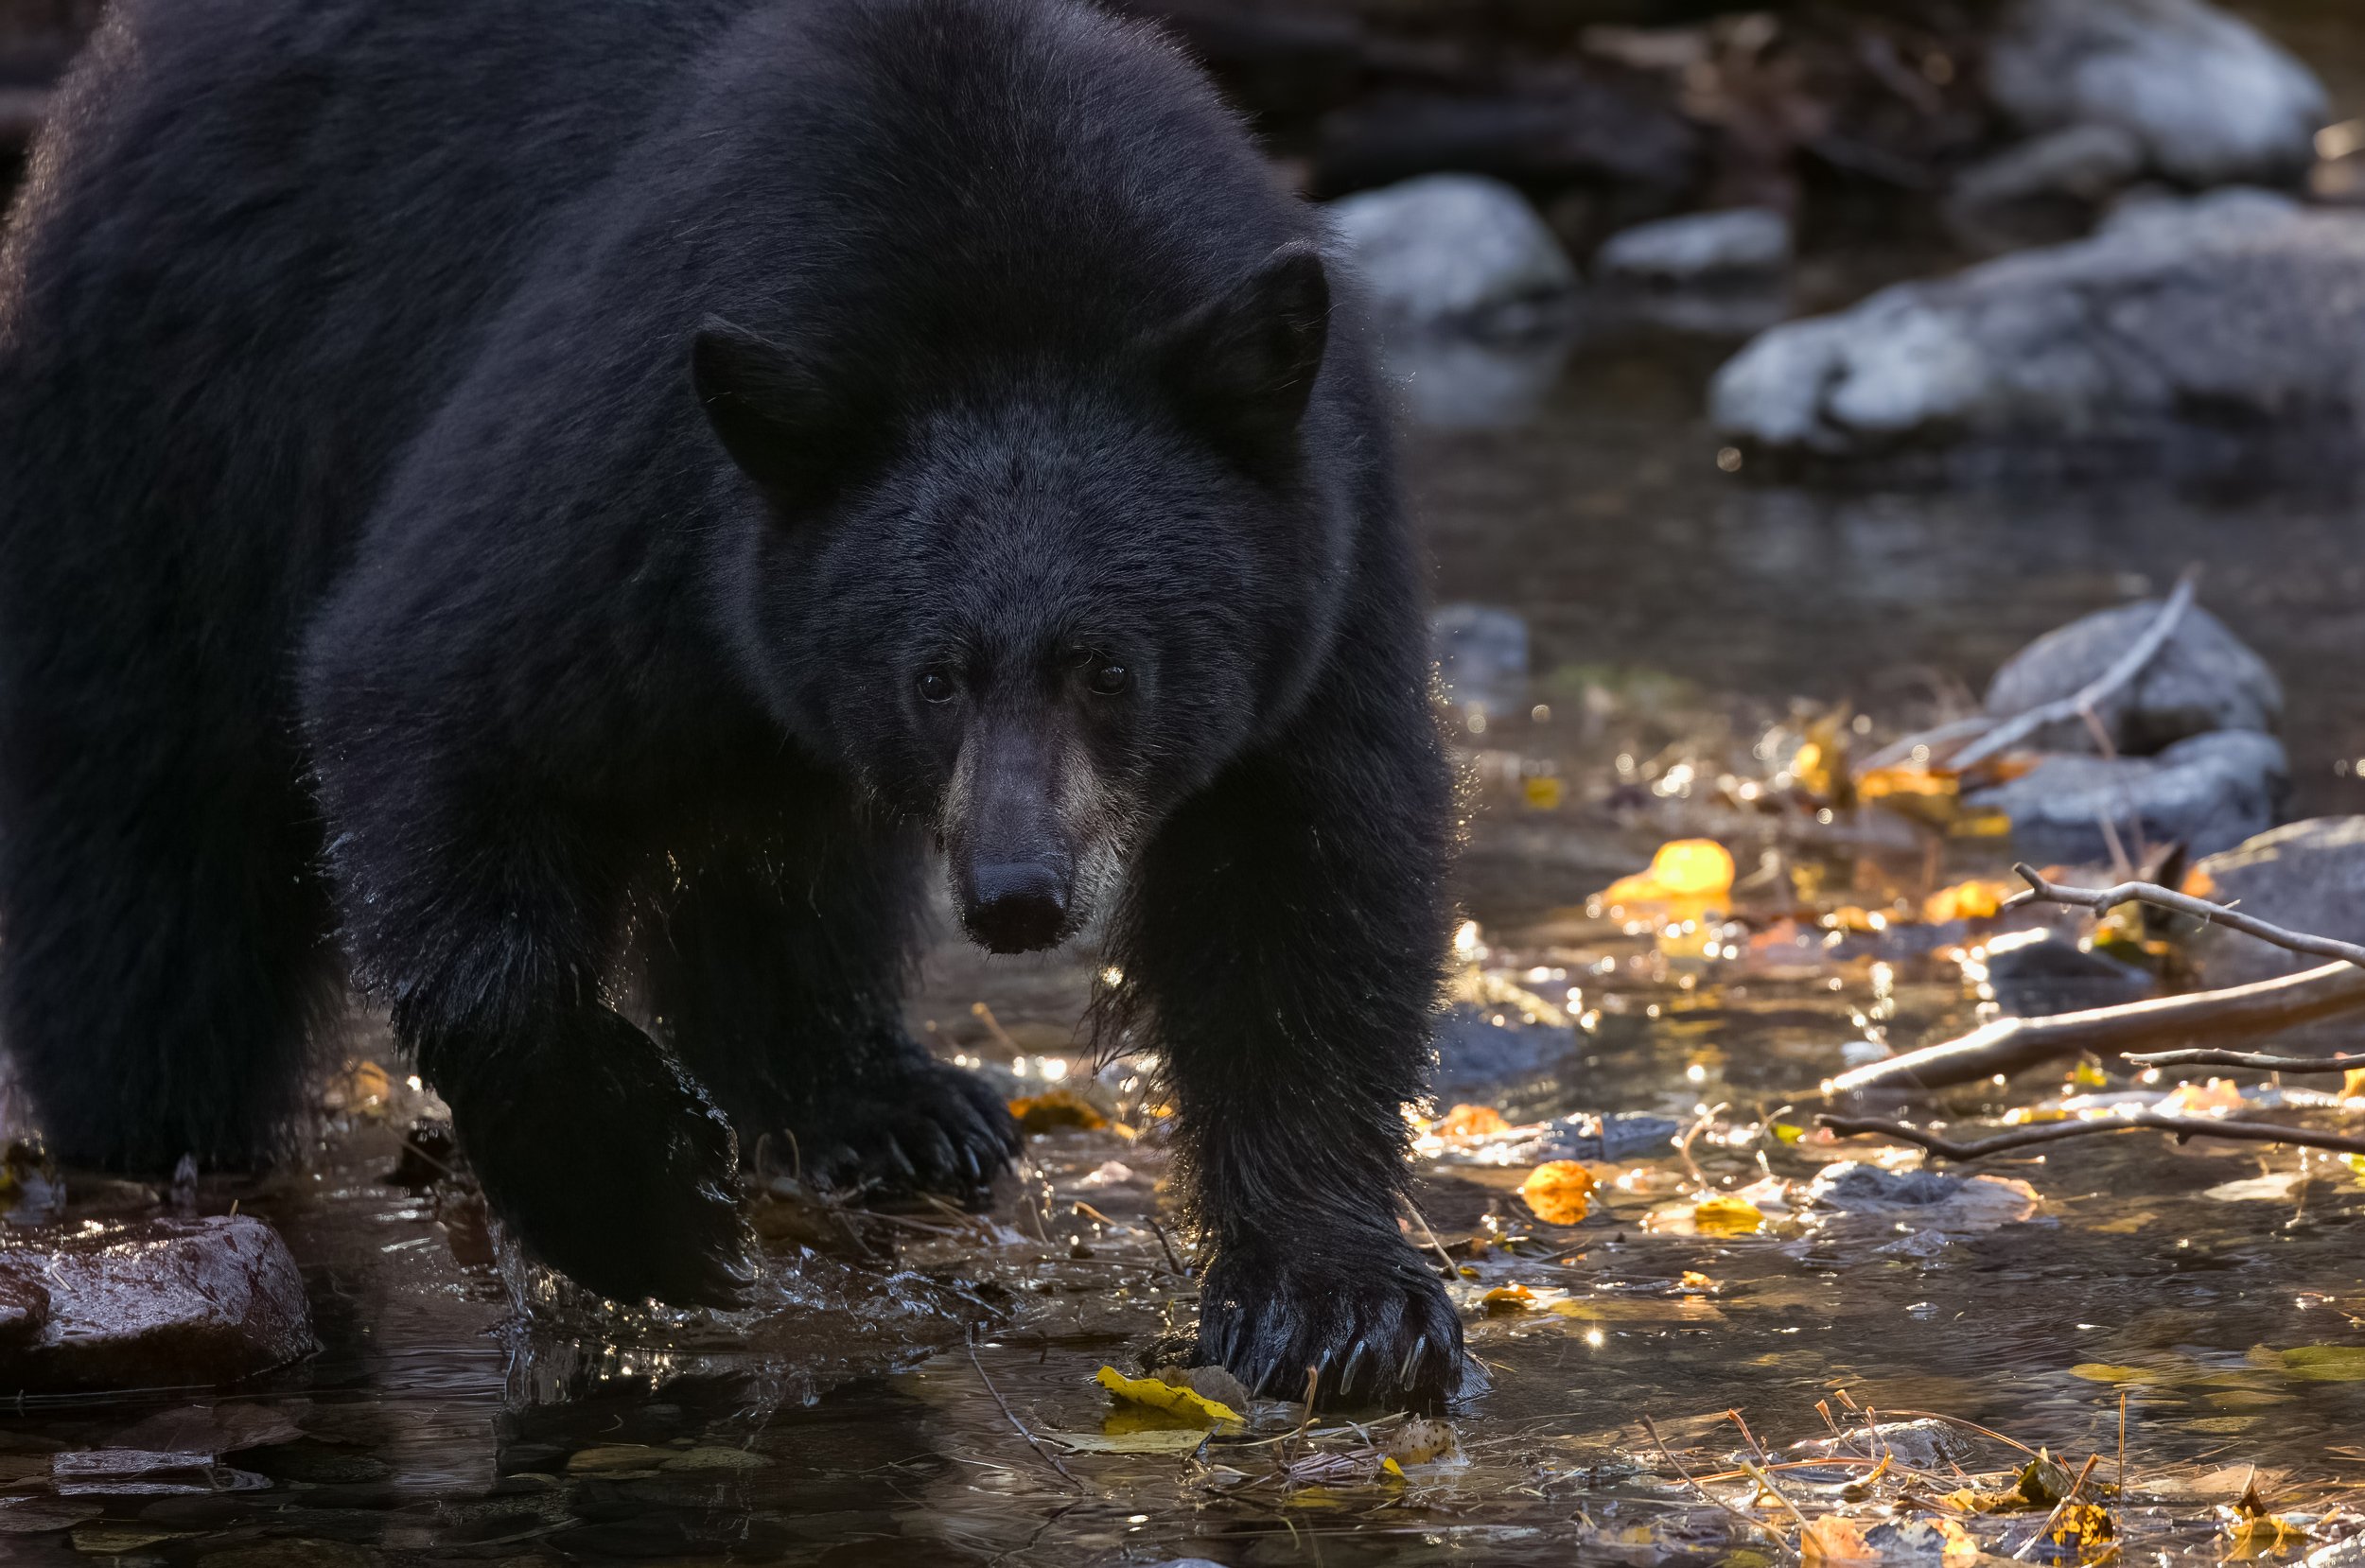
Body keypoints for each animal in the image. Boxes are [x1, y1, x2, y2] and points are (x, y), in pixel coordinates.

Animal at [0, 0, 1462, 1404]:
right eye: (934, 674)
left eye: (1110, 666)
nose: (1018, 894)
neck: (1007, 276)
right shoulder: (633, 464)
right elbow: (436, 698)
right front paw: (644, 1203)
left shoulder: (1322, 554)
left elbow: (1302, 872)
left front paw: (1341, 1308)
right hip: (178, 420)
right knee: (146, 839)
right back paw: (162, 1130)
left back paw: (888, 1105)